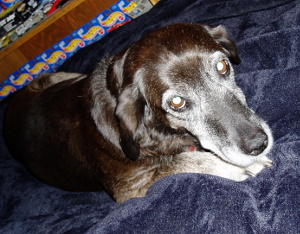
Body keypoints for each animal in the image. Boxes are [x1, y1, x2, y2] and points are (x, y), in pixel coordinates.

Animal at [4, 23, 274, 203]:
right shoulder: (130, 186)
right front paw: (242, 165)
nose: (258, 144)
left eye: (222, 66)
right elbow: (183, 161)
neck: (156, 129)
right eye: (177, 102)